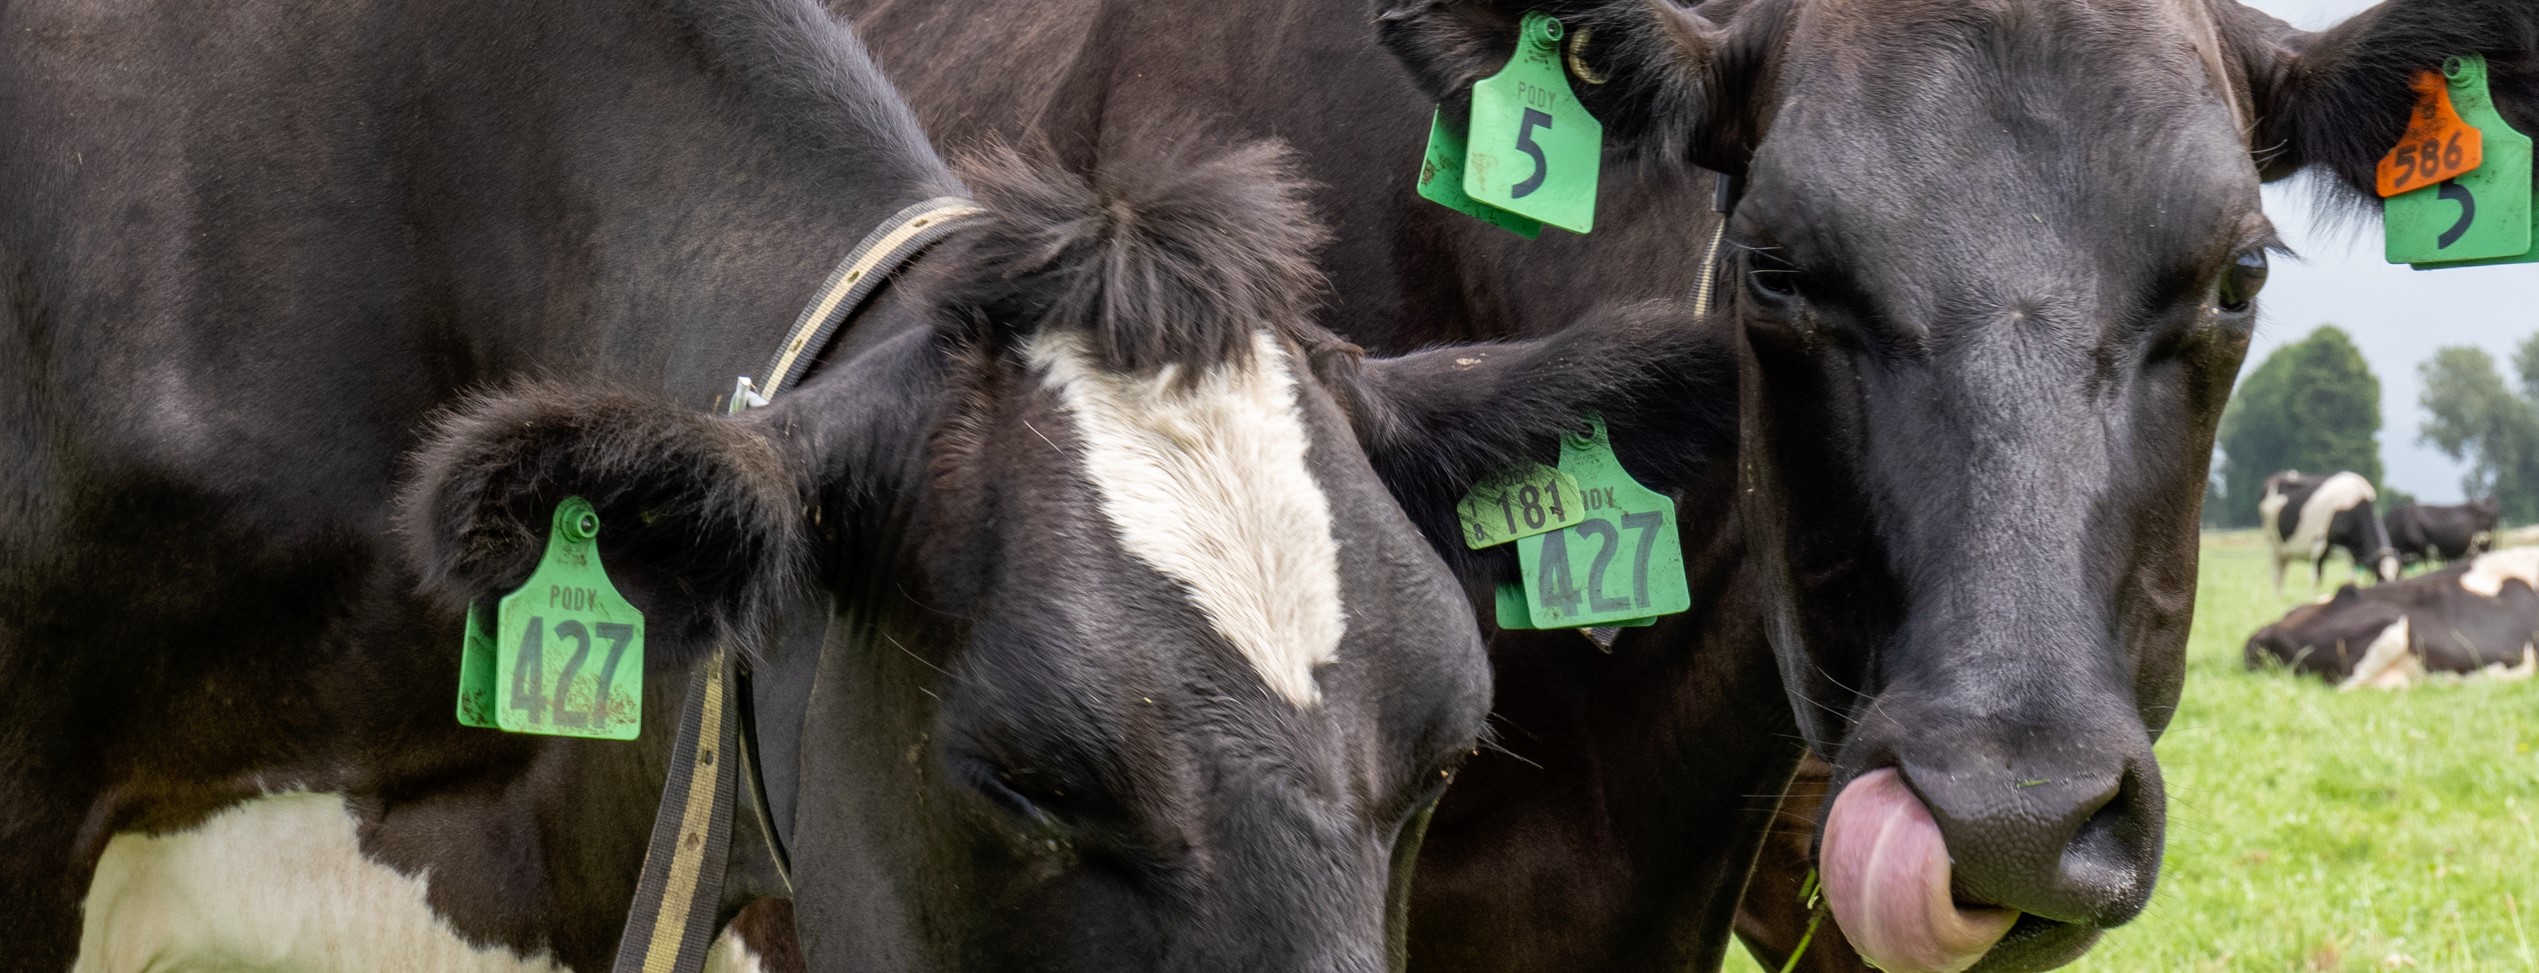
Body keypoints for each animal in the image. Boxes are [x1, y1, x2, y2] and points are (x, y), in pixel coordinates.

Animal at [2264, 472, 2396, 594]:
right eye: (2380, 576)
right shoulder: (2318, 543)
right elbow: (2315, 578)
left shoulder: (2353, 555)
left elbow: (2350, 579)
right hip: (2273, 544)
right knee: (2276, 575)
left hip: (2285, 551)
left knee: (2282, 574)